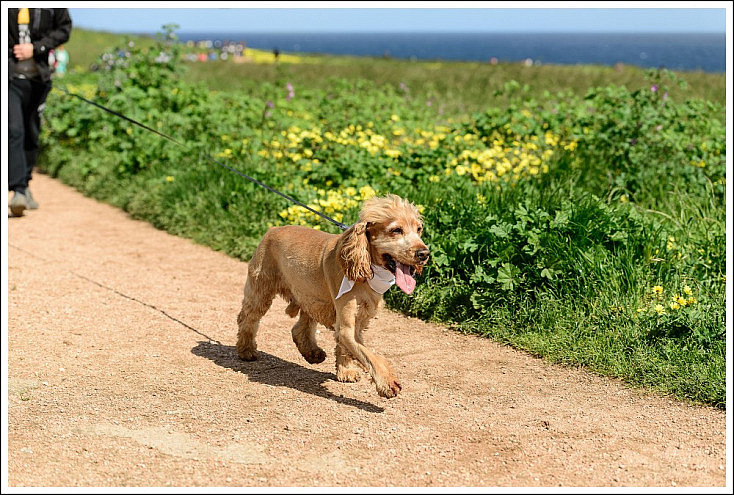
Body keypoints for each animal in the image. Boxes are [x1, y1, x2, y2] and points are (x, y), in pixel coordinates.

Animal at [236, 194, 432, 400]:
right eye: (396, 230)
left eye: (419, 229)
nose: (424, 253)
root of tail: (272, 229)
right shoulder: (347, 324)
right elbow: (368, 355)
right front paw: (387, 382)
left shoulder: (358, 319)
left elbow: (347, 348)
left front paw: (345, 371)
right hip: (261, 289)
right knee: (247, 319)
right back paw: (246, 350)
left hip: (310, 296)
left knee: (299, 328)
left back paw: (313, 353)